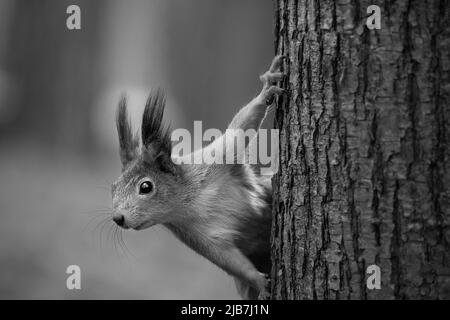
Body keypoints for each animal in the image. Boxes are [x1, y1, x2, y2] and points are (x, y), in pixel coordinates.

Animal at [112, 56, 286, 298]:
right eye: (113, 187)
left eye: (145, 187)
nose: (117, 218)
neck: (191, 202)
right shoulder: (197, 237)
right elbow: (230, 261)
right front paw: (260, 283)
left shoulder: (215, 161)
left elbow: (238, 131)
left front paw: (267, 88)